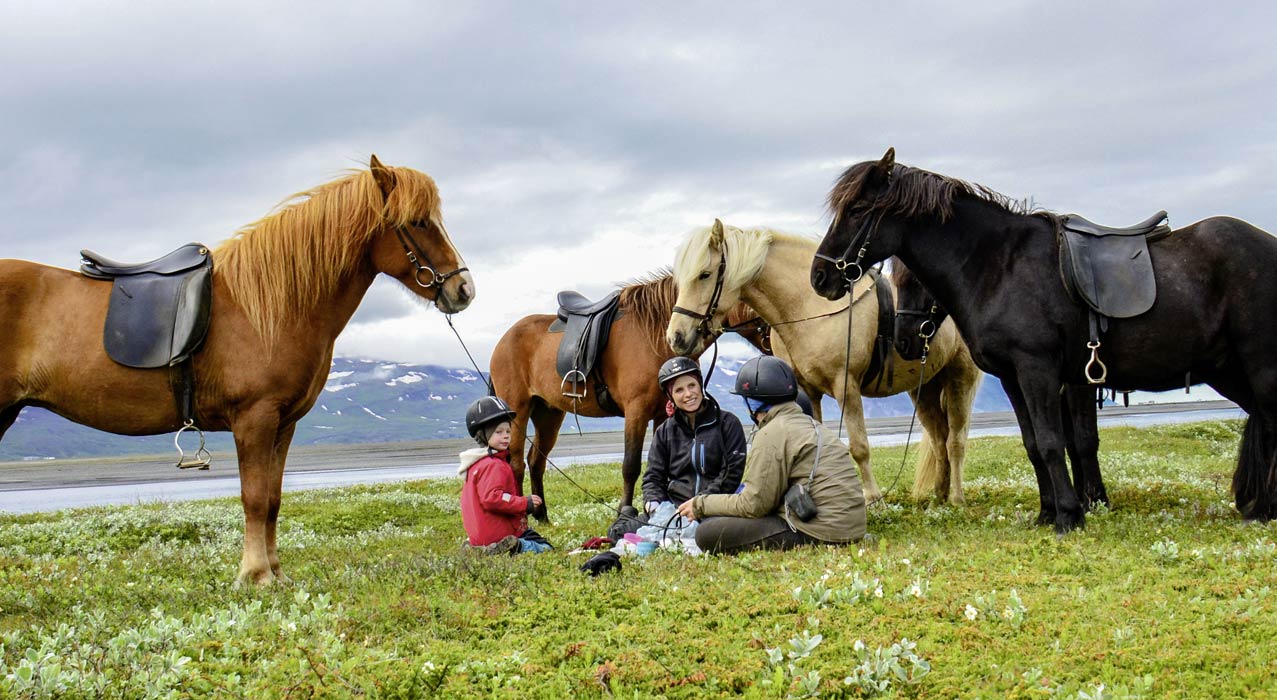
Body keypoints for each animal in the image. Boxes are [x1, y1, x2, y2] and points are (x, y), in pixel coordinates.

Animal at [0, 154, 475, 585]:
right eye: (418, 222)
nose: (463, 288)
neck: (269, 306)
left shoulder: (283, 424)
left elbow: (274, 498)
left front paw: (276, 573)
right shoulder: (254, 419)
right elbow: (254, 498)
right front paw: (255, 574)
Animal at [490, 272, 761, 518]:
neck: (654, 333)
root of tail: (504, 340)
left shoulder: (663, 415)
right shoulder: (636, 411)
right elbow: (630, 466)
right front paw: (625, 511)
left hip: (549, 414)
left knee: (536, 461)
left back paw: (543, 516)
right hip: (518, 411)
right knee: (516, 463)